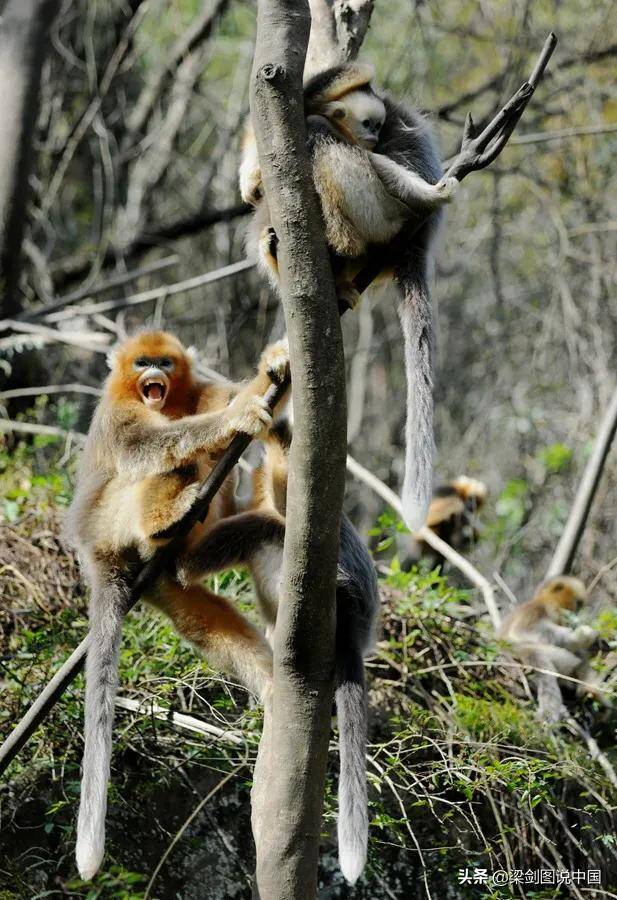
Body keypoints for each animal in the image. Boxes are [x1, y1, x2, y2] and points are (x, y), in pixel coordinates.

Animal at [67, 328, 288, 880]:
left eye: (164, 363)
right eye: (141, 362)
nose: (153, 375)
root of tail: (94, 552)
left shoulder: (200, 388)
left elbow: (231, 394)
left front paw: (273, 367)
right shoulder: (117, 410)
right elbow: (148, 445)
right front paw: (237, 418)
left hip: (161, 581)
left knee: (203, 621)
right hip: (110, 522)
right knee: (163, 464)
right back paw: (164, 520)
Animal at [241, 61, 458, 536]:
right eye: (369, 124)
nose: (374, 136)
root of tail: (415, 245)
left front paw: (426, 191)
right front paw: (251, 176)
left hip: (385, 220)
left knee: (325, 143)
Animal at [500, 576, 596, 724]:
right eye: (578, 604)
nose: (577, 615)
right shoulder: (535, 611)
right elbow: (523, 632)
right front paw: (582, 635)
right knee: (541, 662)